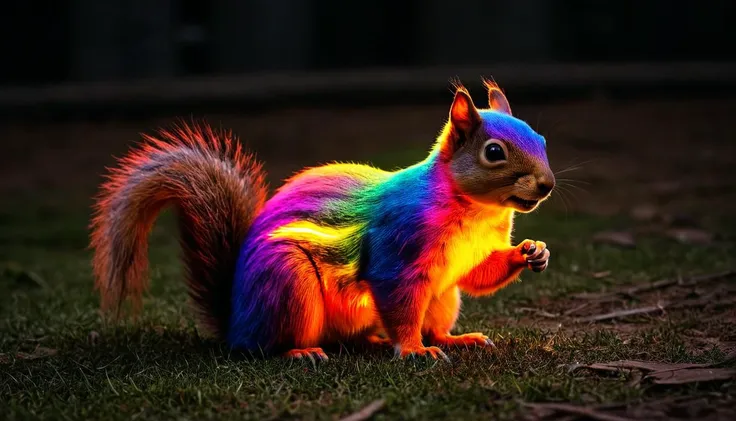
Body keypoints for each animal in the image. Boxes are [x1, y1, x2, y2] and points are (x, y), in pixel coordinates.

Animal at [89, 79, 552, 360]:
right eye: (494, 152)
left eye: (541, 137)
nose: (547, 185)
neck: (480, 212)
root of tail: (236, 322)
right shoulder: (396, 254)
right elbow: (399, 304)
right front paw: (411, 350)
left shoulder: (467, 259)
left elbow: (479, 275)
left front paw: (532, 252)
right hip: (288, 285)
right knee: (266, 348)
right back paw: (301, 351)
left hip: (443, 297)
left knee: (428, 324)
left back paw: (452, 338)